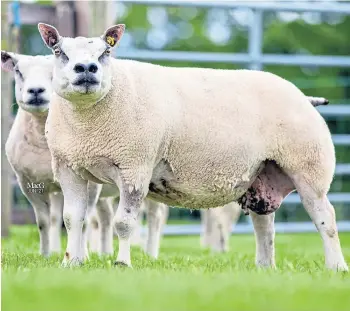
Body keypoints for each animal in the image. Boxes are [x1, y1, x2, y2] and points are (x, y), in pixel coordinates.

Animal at [37, 23, 348, 272]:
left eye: (106, 52)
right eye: (58, 51)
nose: (87, 69)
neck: (88, 125)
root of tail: (303, 97)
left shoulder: (134, 167)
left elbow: (123, 223)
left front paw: (122, 264)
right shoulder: (68, 167)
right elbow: (71, 219)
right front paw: (71, 262)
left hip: (309, 166)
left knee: (326, 218)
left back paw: (335, 267)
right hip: (263, 176)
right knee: (264, 226)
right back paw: (265, 268)